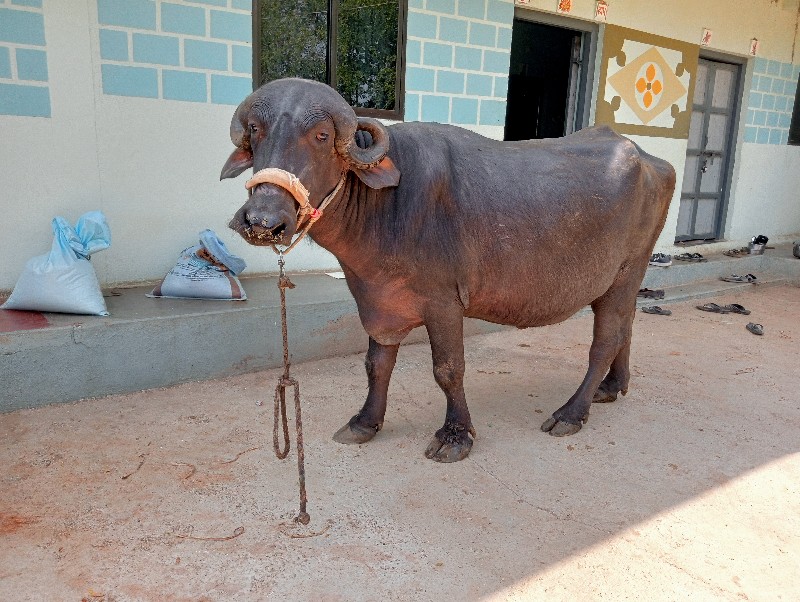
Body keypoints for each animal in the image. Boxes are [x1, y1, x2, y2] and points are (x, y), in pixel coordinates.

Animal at [222, 77, 680, 462]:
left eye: (321, 136)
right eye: (257, 130)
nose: (263, 221)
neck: (387, 206)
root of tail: (652, 160)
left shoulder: (443, 304)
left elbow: (448, 369)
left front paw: (456, 435)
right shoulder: (378, 300)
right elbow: (376, 364)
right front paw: (365, 422)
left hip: (626, 270)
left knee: (606, 340)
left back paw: (572, 412)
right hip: (624, 280)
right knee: (627, 326)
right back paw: (611, 387)